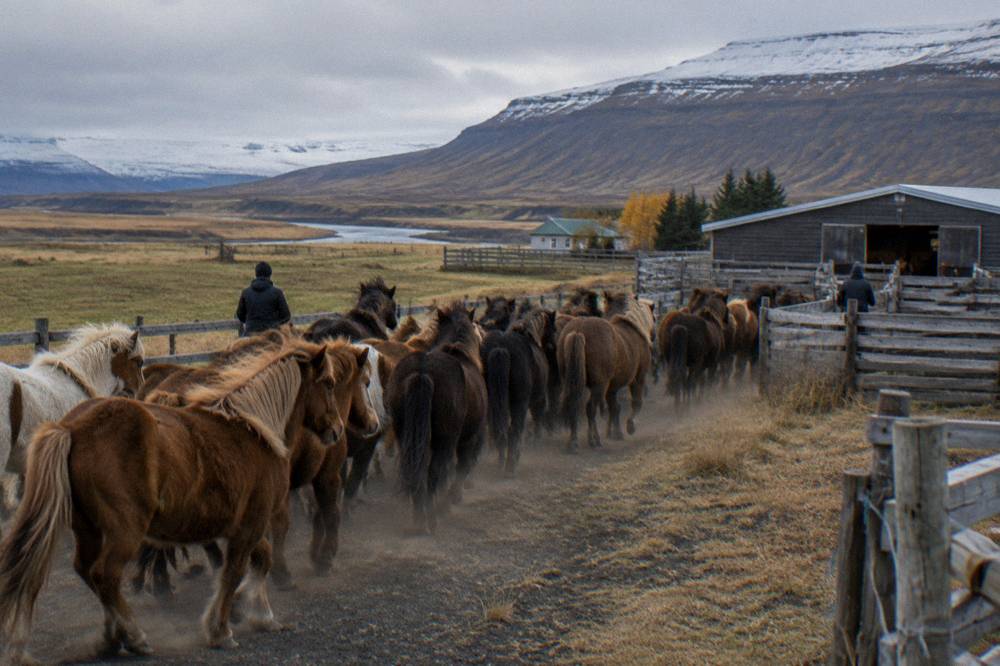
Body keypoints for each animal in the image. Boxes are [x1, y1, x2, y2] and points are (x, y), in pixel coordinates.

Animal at [387, 303, 486, 534]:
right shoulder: (469, 438)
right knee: (434, 472)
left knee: (418, 472)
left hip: (407, 438)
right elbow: (460, 468)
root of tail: (422, 372)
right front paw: (451, 500)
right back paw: (431, 519)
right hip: (445, 441)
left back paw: (419, 518)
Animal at [480, 307, 550, 476]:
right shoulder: (538, 399)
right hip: (520, 403)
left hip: (493, 404)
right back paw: (511, 466)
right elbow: (537, 416)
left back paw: (501, 462)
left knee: (498, 429)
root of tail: (501, 348)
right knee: (514, 430)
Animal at [557, 294, 651, 451]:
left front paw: (615, 433)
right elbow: (636, 403)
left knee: (575, 404)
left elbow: (614, 407)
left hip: (572, 382)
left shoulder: (611, 388)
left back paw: (573, 442)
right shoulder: (638, 378)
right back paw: (594, 440)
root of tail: (578, 330)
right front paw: (629, 426)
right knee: (590, 408)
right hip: (598, 386)